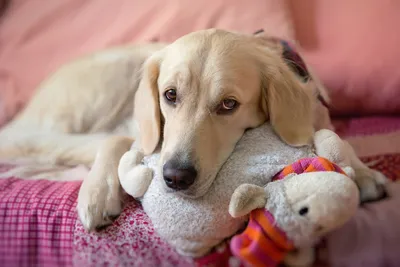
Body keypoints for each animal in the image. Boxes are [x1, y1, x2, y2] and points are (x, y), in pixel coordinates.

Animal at [0, 28, 388, 230]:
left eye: (229, 105)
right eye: (170, 95)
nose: (175, 177)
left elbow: (331, 138)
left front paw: (364, 174)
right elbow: (115, 141)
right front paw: (97, 193)